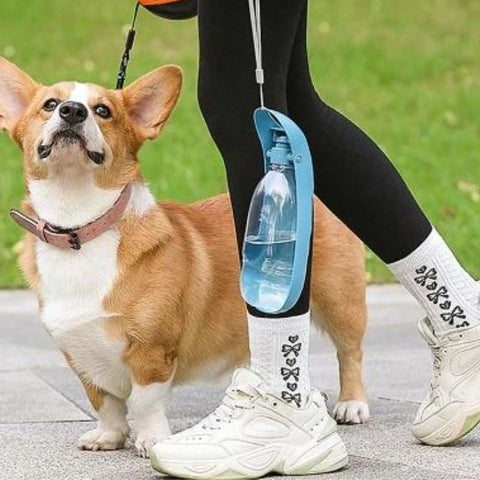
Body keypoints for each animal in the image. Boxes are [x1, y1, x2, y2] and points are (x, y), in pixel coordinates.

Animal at [0, 58, 368, 456]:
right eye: (50, 104)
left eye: (103, 111)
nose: (72, 111)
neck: (80, 224)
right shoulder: (79, 354)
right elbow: (104, 402)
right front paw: (109, 436)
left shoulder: (152, 350)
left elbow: (144, 402)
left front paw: (151, 440)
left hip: (338, 300)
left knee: (350, 352)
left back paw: (351, 404)